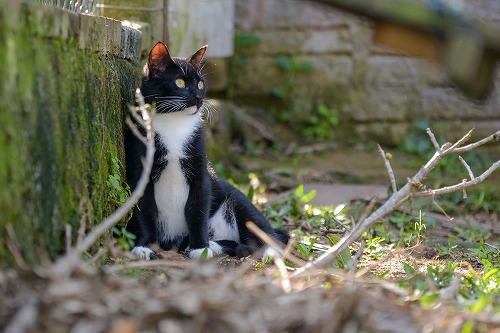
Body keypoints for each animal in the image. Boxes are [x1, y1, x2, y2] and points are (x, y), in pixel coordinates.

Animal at [125, 42, 290, 260]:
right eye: (179, 82)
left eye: (201, 84)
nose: (197, 97)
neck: (174, 123)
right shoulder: (139, 159)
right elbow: (143, 208)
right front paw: (145, 246)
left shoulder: (200, 167)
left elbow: (198, 206)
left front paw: (199, 247)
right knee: (245, 246)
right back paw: (215, 244)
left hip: (234, 196)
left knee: (264, 230)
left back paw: (268, 251)